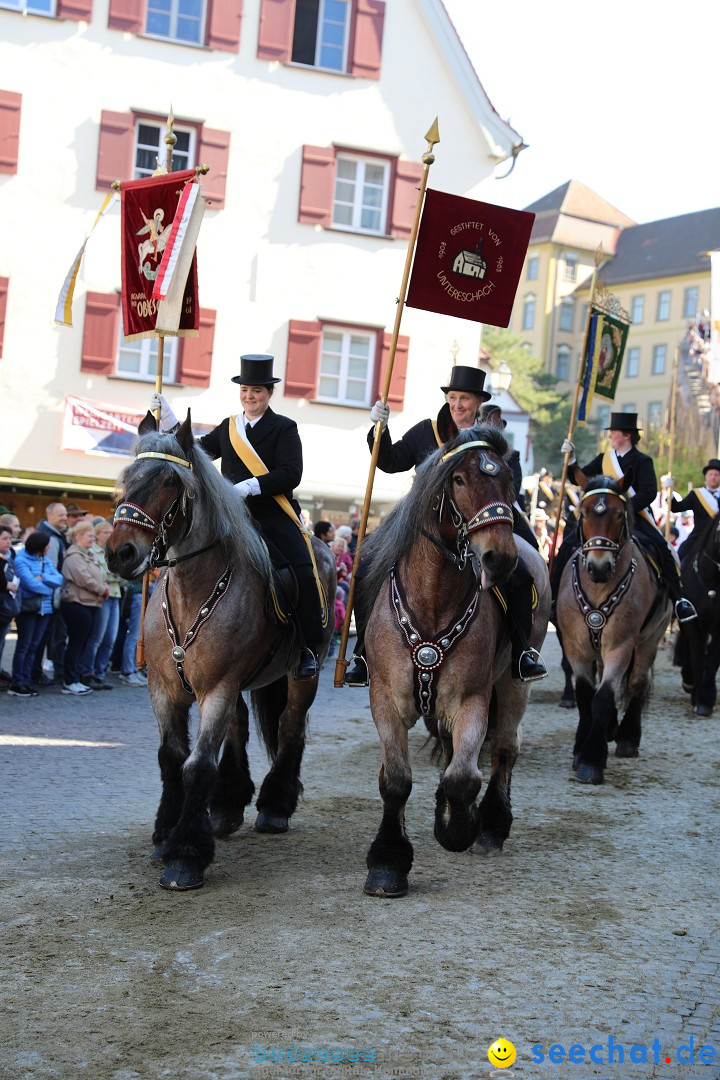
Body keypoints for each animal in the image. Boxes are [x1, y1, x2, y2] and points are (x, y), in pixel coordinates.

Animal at [105, 408, 336, 889]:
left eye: (169, 482)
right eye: (127, 478)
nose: (121, 553)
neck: (194, 589)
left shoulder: (217, 688)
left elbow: (197, 764)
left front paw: (185, 854)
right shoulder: (165, 690)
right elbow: (172, 758)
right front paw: (166, 831)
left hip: (303, 674)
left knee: (290, 728)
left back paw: (274, 806)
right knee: (242, 727)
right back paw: (228, 805)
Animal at [358, 425, 548, 898]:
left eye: (509, 482)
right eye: (458, 480)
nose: (499, 558)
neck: (433, 599)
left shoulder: (470, 699)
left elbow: (465, 776)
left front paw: (459, 828)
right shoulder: (385, 699)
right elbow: (396, 779)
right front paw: (388, 862)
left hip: (514, 683)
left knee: (503, 750)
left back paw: (491, 826)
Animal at [557, 477, 677, 781]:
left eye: (620, 514)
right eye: (584, 513)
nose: (599, 567)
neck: (599, 589)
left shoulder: (620, 646)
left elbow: (602, 697)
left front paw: (591, 760)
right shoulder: (576, 646)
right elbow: (586, 695)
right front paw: (580, 748)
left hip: (649, 639)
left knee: (637, 682)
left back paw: (627, 738)